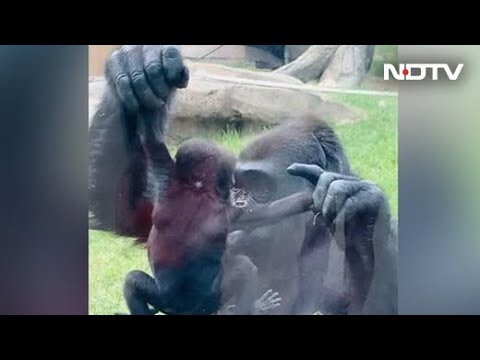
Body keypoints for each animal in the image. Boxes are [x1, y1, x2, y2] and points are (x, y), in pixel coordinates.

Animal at [123, 111, 312, 314]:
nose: (232, 191)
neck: (196, 191)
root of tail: (180, 309)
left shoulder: (170, 181)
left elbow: (152, 145)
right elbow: (272, 211)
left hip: (186, 299)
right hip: (188, 301)